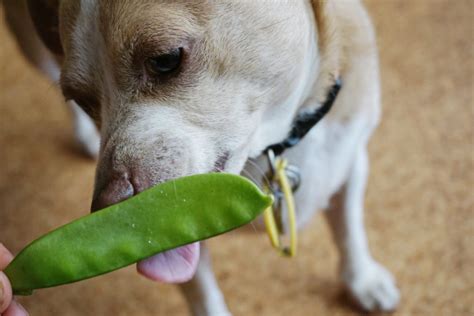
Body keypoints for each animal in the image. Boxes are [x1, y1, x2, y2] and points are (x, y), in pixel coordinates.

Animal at [3, 0, 400, 314]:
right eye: (85, 101)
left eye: (166, 60)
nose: (108, 207)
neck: (273, 148)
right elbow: (203, 295)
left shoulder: (351, 159)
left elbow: (350, 229)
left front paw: (362, 279)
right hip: (32, 47)